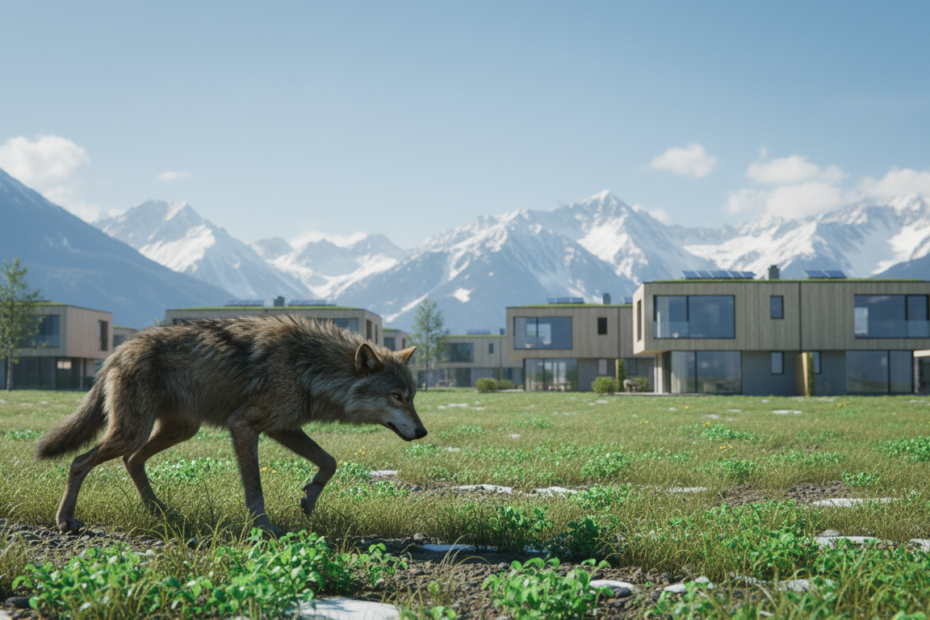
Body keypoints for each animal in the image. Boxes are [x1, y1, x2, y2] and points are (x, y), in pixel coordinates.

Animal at [35, 314, 424, 535]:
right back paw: (65, 520)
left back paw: (159, 511)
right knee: (80, 462)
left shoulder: (283, 428)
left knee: (132, 461)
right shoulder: (244, 426)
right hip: (132, 432)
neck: (308, 368)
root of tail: (118, 350)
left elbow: (329, 461)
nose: (422, 432)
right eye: (397, 397)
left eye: (412, 396)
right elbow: (255, 489)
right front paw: (263, 527)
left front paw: (309, 498)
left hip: (177, 430)